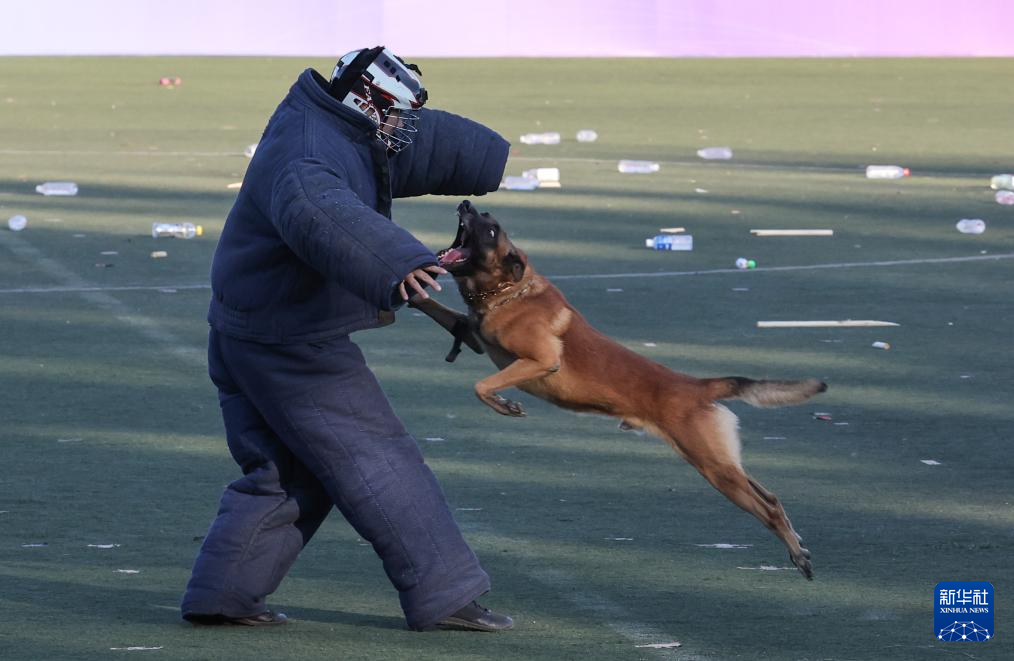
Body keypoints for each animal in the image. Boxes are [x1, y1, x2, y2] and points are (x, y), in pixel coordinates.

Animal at [423, 197, 827, 579]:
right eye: (482, 217)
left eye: (490, 231)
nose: (466, 203)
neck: (509, 291)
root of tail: (698, 386)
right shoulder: (473, 335)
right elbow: (437, 309)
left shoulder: (540, 360)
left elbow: (481, 386)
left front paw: (504, 404)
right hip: (723, 462)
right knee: (771, 496)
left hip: (715, 468)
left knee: (767, 507)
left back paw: (798, 555)